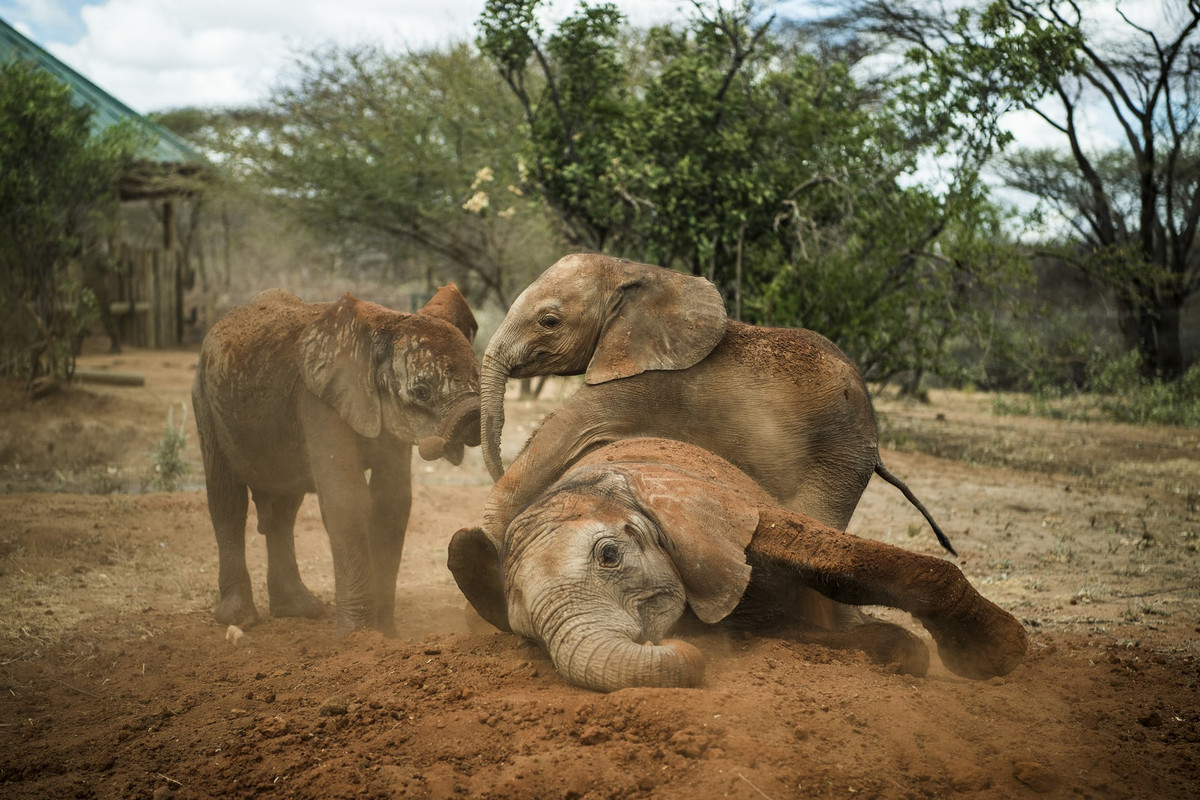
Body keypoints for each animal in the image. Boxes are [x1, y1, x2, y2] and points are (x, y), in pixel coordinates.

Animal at [194, 284, 480, 633]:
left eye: (479, 374)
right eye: (421, 391)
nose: (473, 415)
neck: (384, 327)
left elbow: (392, 501)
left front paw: (386, 634)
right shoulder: (317, 399)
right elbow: (346, 498)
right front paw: (358, 637)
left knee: (284, 509)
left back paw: (299, 610)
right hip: (205, 399)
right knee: (228, 499)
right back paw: (239, 619)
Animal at [446, 438, 1027, 695]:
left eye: (609, 556)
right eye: (527, 635)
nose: (675, 646)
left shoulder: (712, 513)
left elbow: (828, 557)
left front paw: (995, 656)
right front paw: (900, 650)